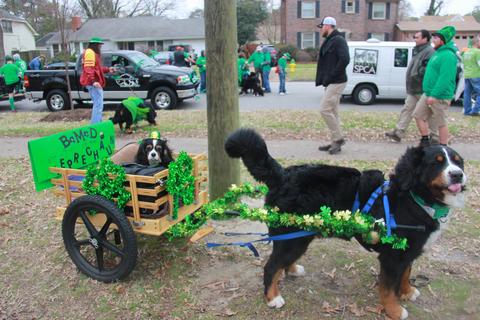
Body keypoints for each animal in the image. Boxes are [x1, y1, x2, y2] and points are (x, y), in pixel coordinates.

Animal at [226, 128, 468, 320]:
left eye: (458, 161)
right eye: (436, 163)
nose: (458, 175)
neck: (415, 198)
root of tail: (282, 174)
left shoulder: (408, 251)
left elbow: (406, 273)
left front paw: (408, 291)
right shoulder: (393, 255)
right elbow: (388, 288)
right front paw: (395, 310)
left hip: (299, 236)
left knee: (282, 262)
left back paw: (293, 270)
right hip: (293, 237)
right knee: (271, 266)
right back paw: (273, 297)